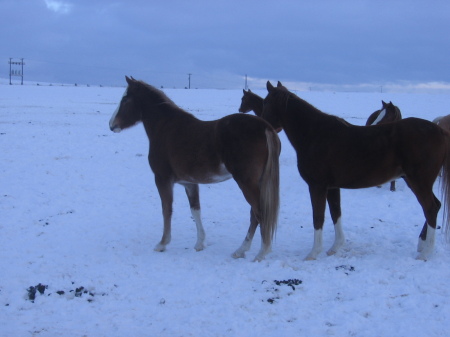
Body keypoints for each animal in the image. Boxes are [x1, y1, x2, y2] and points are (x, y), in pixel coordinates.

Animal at [108, 76, 280, 260]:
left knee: (259, 213)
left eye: (125, 99)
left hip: (246, 182)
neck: (165, 128)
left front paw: (162, 243)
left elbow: (166, 209)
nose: (111, 124)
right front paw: (199, 243)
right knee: (254, 215)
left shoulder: (162, 179)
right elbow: (195, 210)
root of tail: (265, 127)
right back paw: (241, 250)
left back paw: (261, 253)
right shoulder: (190, 183)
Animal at [260, 81, 450, 260]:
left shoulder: (317, 186)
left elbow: (318, 217)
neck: (315, 135)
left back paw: (426, 253)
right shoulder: (332, 187)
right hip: (415, 181)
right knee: (435, 205)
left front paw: (313, 253)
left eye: (266, 103)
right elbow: (335, 213)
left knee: (430, 208)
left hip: (419, 181)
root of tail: (439, 130)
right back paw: (422, 245)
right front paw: (335, 247)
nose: (262, 123)